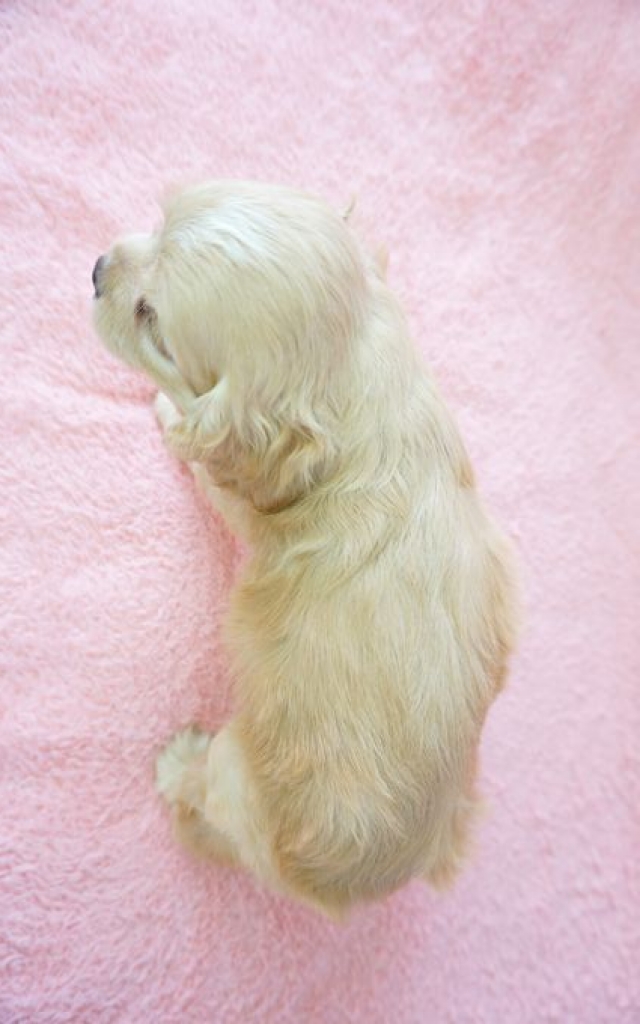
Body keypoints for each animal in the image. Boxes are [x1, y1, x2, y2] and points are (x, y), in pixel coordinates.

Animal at [93, 181, 517, 917]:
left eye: (152, 320)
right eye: (158, 220)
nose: (94, 269)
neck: (346, 383)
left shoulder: (241, 488)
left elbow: (203, 455)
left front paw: (170, 414)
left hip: (239, 772)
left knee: (206, 795)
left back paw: (179, 764)